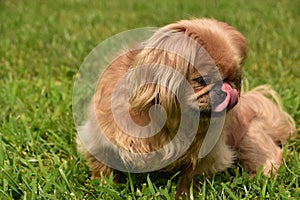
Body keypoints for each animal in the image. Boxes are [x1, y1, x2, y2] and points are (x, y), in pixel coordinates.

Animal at [76, 18, 296, 198]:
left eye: (232, 79)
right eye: (201, 80)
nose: (228, 90)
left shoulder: (208, 154)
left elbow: (191, 177)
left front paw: (183, 194)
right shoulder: (100, 137)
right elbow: (101, 164)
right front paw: (104, 186)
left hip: (250, 137)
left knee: (270, 157)